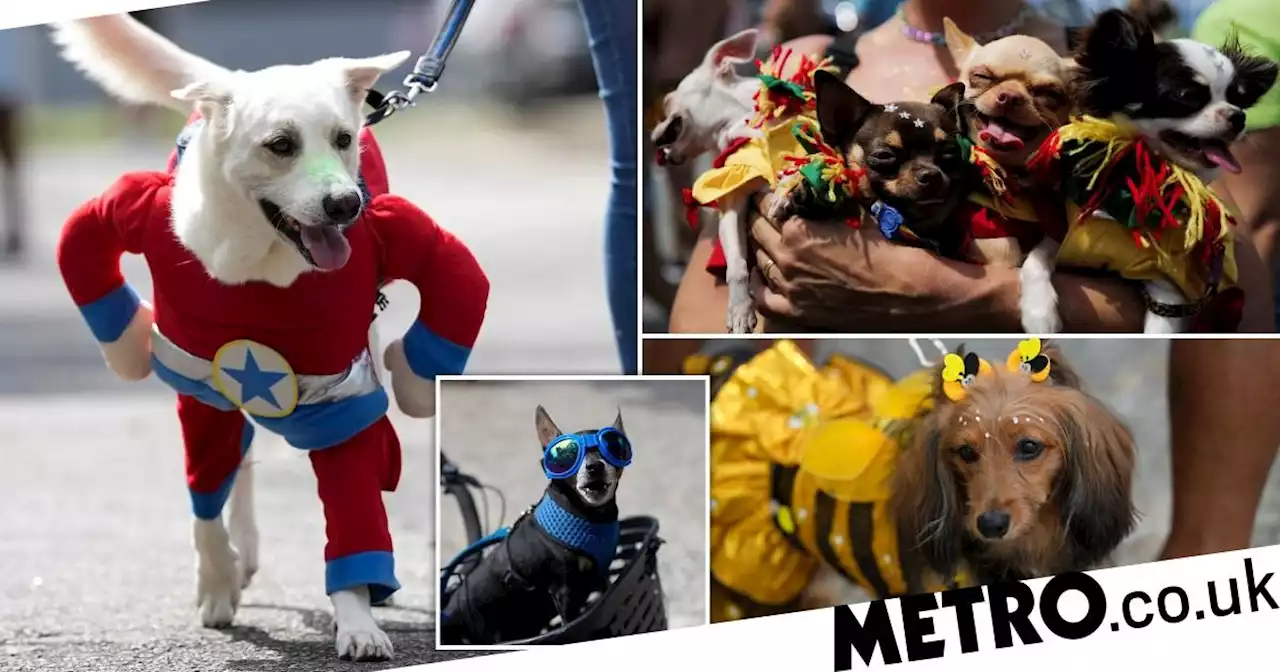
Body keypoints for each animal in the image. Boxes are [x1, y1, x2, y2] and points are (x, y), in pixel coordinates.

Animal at [437, 404, 632, 645]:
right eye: (567, 457)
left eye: (614, 448)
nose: (594, 466)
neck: (590, 516)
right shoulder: (564, 592)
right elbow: (571, 623)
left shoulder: (602, 577)